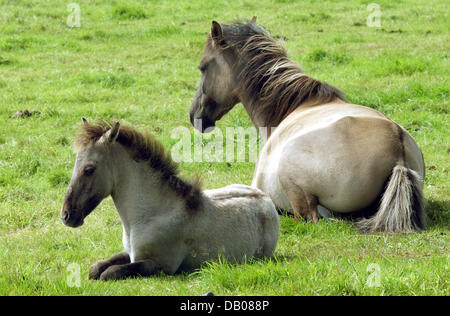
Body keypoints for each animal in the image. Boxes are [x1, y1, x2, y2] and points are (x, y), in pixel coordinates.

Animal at [59, 119, 278, 280]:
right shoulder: (130, 253)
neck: (151, 214)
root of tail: (267, 200)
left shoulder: (161, 265)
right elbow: (96, 268)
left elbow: (108, 273)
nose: (67, 215)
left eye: (89, 169)